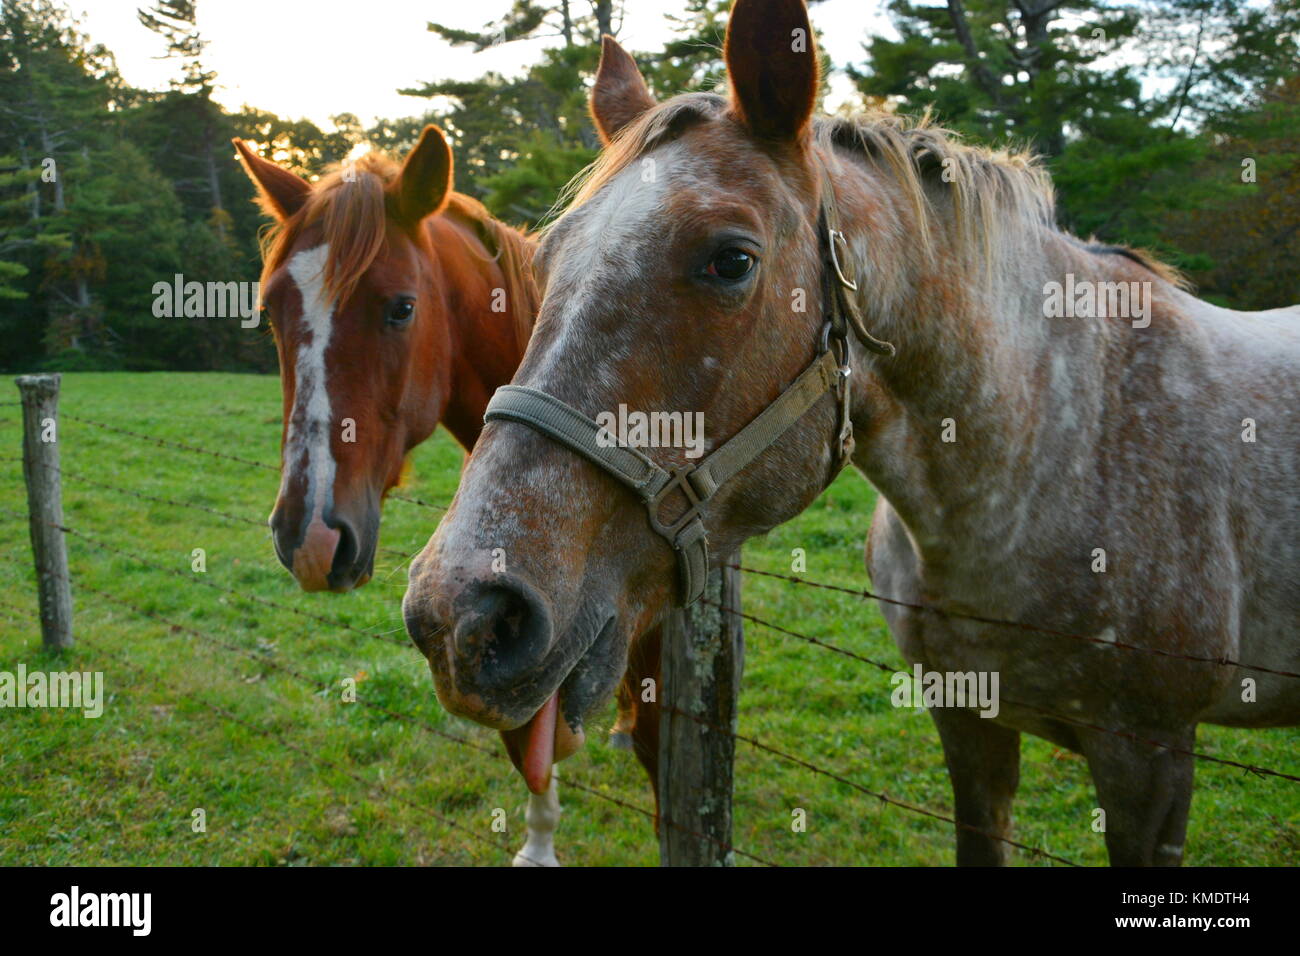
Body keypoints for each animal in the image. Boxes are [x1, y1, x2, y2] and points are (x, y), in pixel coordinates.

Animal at [231, 130, 670, 868]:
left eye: (401, 307)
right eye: (271, 312)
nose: (311, 538)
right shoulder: (507, 618)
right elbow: (529, 745)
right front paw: (538, 840)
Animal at [403, 0, 1300, 868]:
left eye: (731, 260)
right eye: (545, 261)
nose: (462, 615)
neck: (1054, 450)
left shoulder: (1149, 760)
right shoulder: (967, 719)